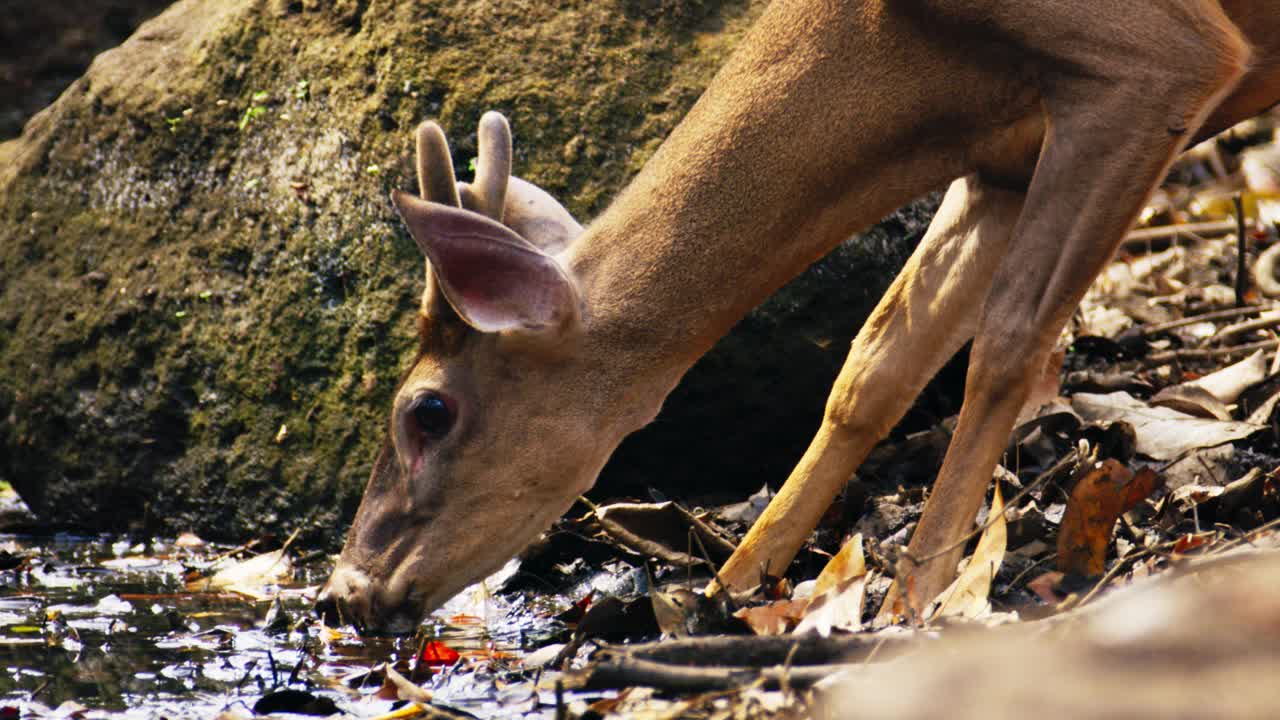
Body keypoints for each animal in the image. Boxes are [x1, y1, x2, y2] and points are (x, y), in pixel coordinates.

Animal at [314, 0, 1280, 627]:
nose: (345, 592)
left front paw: (912, 602)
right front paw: (735, 587)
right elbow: (876, 363)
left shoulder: (1161, 61)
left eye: (425, 411)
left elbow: (1006, 345)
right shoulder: (1001, 158)